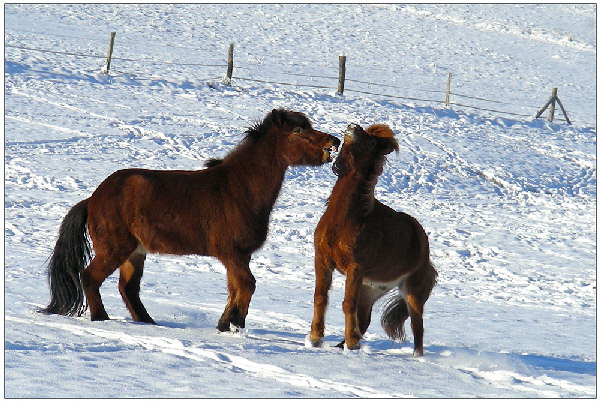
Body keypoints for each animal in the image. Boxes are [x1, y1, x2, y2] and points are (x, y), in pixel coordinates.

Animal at [41, 109, 342, 332]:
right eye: (298, 131)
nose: (334, 142)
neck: (239, 188)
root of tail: (93, 198)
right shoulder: (230, 253)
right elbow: (247, 284)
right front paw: (237, 323)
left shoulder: (239, 255)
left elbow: (234, 288)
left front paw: (225, 323)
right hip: (115, 248)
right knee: (90, 277)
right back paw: (101, 318)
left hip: (135, 252)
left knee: (128, 289)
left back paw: (148, 323)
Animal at [310, 123, 436, 356]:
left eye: (370, 141)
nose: (353, 126)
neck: (345, 219)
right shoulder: (322, 261)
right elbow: (320, 297)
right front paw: (314, 338)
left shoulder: (354, 268)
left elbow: (347, 304)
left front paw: (351, 343)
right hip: (370, 290)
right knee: (364, 319)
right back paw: (345, 344)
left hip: (412, 293)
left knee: (417, 327)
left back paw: (416, 357)